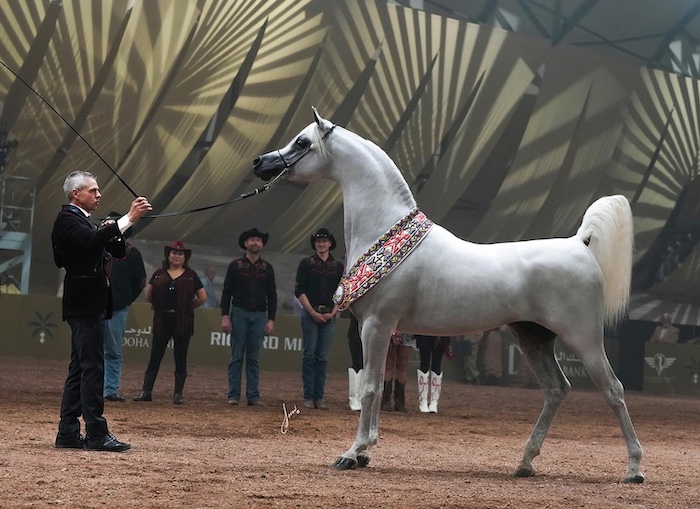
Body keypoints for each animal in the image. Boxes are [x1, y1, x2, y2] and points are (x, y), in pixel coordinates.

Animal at [253, 108, 644, 484]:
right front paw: (365, 452)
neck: (385, 233)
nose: (260, 162)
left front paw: (352, 453)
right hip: (533, 339)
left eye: (302, 142)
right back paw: (525, 463)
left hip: (584, 340)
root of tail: (581, 242)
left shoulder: (377, 326)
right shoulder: (379, 330)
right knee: (556, 389)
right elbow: (375, 385)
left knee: (613, 390)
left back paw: (634, 469)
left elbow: (370, 388)